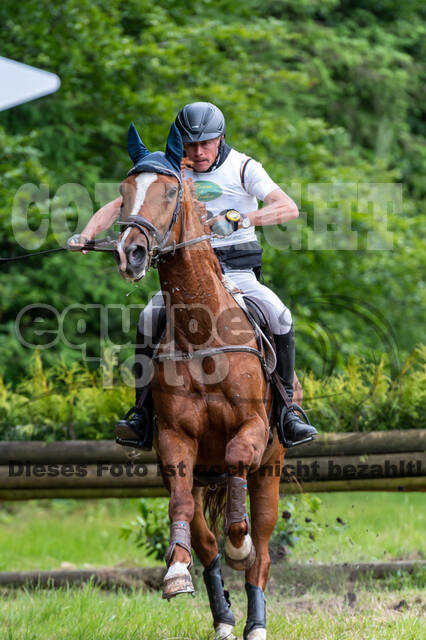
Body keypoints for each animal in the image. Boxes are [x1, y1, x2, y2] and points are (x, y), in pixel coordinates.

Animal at [115, 122, 295, 640]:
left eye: (171, 191)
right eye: (123, 193)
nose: (131, 253)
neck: (202, 333)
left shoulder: (252, 429)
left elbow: (237, 463)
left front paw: (241, 543)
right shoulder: (176, 441)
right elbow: (179, 508)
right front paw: (176, 573)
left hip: (271, 471)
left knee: (261, 551)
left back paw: (254, 620)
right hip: (201, 476)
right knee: (205, 541)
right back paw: (224, 618)